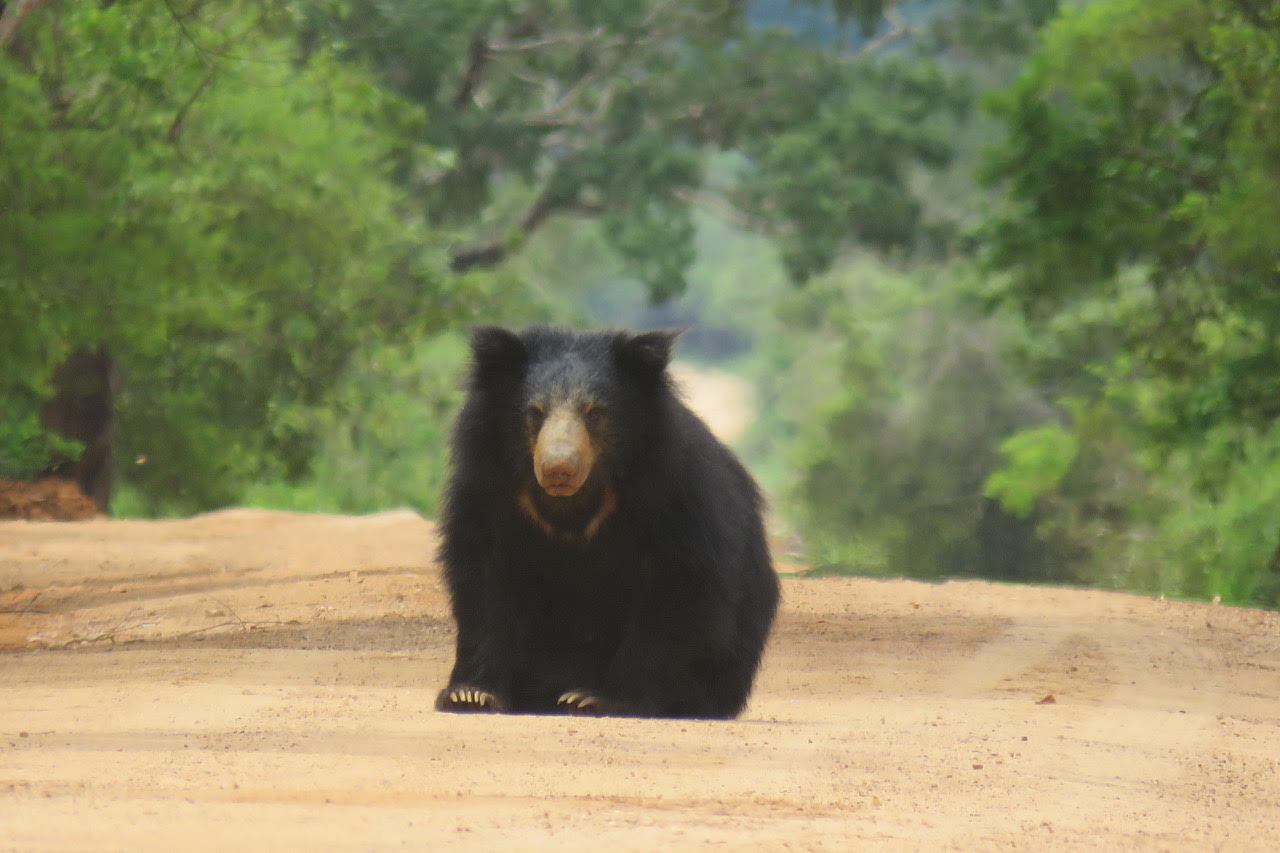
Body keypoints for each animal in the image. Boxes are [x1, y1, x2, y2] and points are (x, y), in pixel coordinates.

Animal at [437, 325, 778, 717]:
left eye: (594, 413)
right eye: (535, 413)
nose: (559, 467)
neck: (574, 501)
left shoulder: (674, 493)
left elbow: (680, 586)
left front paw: (600, 698)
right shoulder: (485, 489)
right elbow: (483, 580)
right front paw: (471, 694)